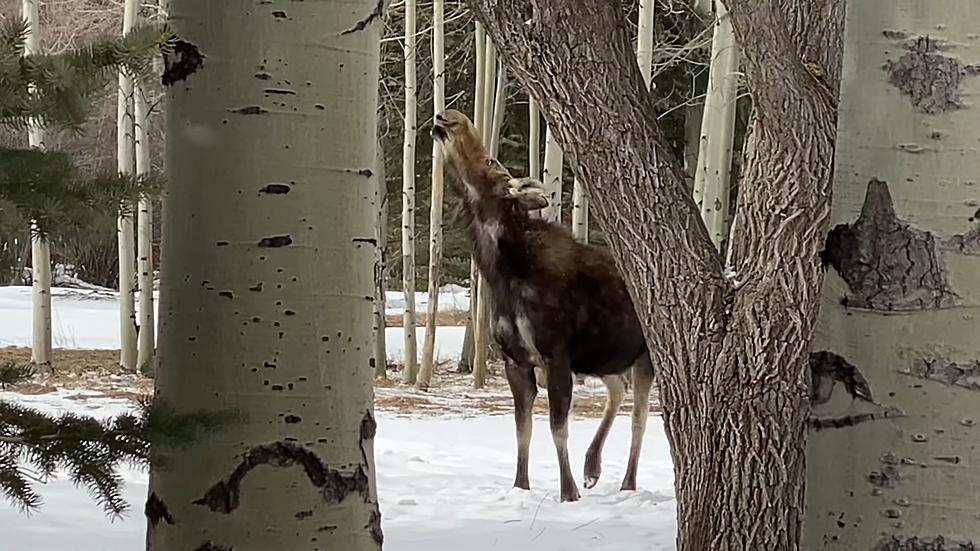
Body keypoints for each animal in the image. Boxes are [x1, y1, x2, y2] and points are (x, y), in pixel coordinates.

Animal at [430, 110, 652, 502]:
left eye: (492, 162)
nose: (450, 117)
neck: (503, 273)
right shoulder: (515, 359)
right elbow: (523, 429)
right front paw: (521, 485)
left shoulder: (555, 354)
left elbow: (557, 427)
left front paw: (568, 491)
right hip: (602, 356)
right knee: (617, 390)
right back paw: (592, 466)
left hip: (646, 356)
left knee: (640, 417)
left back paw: (626, 482)